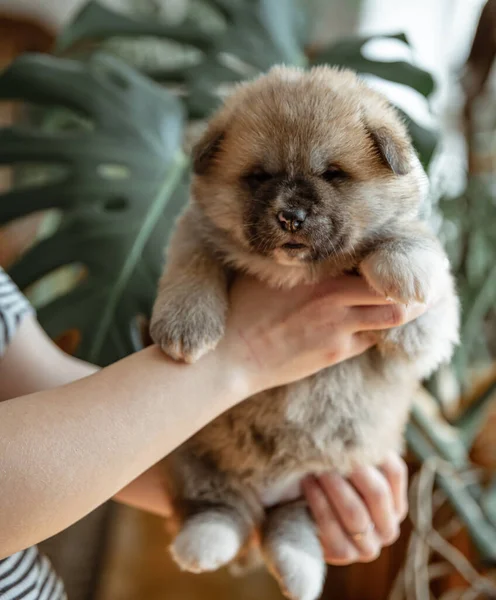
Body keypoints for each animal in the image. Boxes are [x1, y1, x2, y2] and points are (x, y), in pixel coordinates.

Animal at [149, 65, 460, 600]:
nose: (290, 216)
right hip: (192, 454)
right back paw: (204, 544)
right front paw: (186, 326)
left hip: (329, 479)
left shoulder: (416, 346)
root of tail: (269, 490)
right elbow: (193, 262)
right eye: (258, 177)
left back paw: (297, 570)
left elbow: (417, 252)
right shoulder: (194, 232)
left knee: (290, 526)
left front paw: (408, 272)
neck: (298, 273)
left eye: (333, 174)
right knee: (220, 507)